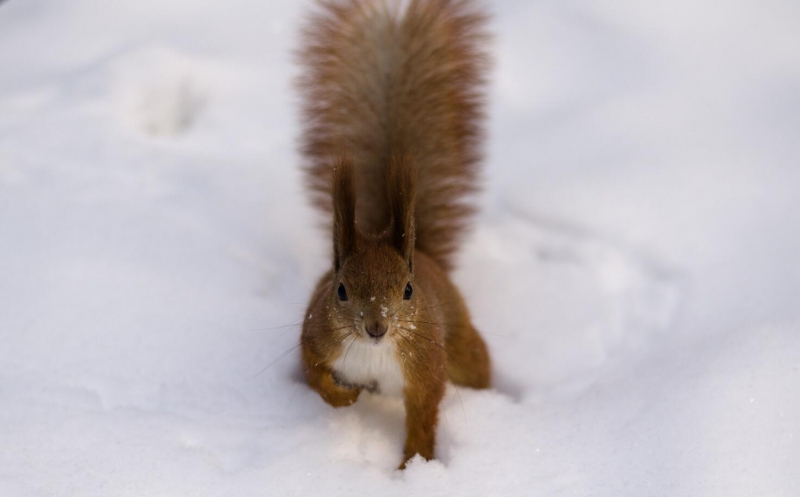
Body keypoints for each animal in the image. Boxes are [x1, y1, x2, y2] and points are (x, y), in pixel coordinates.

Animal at [296, 0, 490, 468]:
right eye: (341, 290)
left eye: (407, 290)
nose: (376, 327)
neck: (373, 354)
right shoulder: (315, 335)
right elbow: (315, 375)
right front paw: (344, 399)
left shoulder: (426, 365)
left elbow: (423, 415)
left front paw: (413, 466)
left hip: (462, 346)